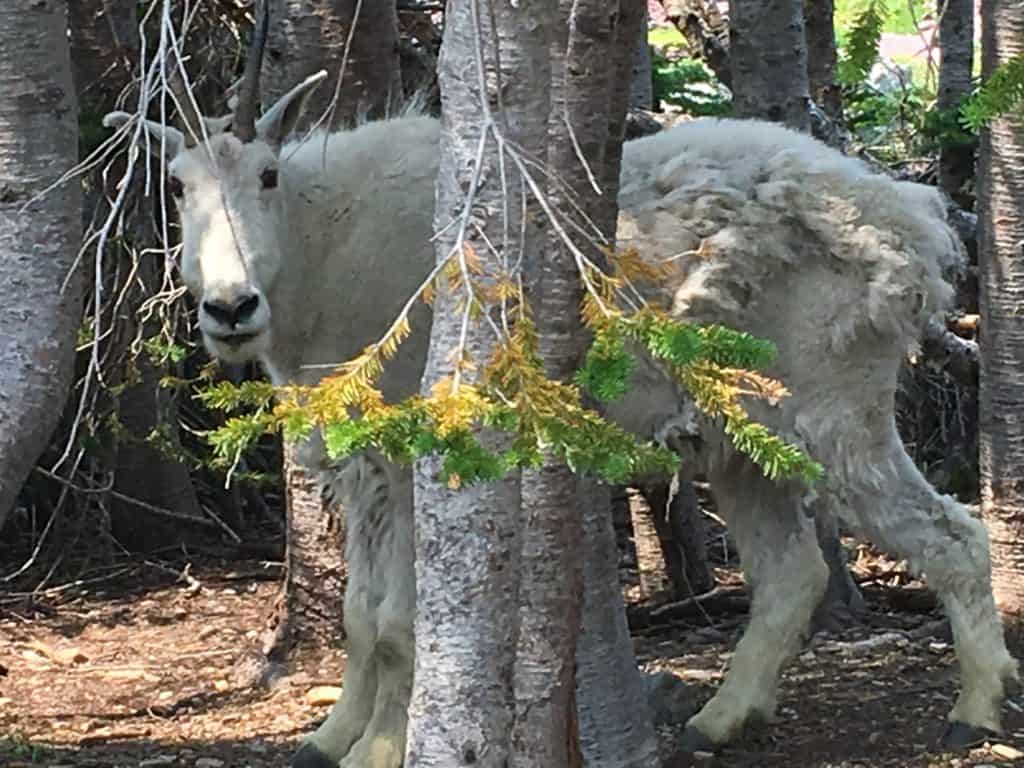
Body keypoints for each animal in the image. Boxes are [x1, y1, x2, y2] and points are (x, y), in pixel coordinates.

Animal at [103, 52, 1015, 768]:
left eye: (265, 175)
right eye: (177, 187)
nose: (229, 307)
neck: (323, 248)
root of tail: (909, 229)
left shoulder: (414, 452)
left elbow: (398, 621)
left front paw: (380, 750)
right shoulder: (364, 465)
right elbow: (361, 615)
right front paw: (327, 740)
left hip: (835, 409)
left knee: (952, 537)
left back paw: (974, 711)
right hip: (742, 435)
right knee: (792, 572)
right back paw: (718, 721)